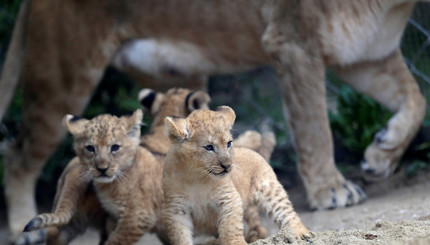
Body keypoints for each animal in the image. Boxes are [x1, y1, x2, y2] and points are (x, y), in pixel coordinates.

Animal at [0, 0, 426, 241]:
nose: (225, 161)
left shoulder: (366, 51)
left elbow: (416, 100)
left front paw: (381, 153)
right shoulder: (293, 40)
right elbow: (314, 125)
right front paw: (333, 190)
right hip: (63, 73)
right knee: (18, 155)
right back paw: (23, 226)